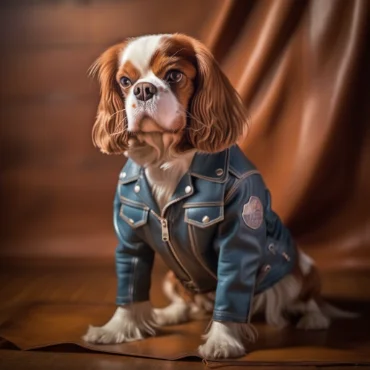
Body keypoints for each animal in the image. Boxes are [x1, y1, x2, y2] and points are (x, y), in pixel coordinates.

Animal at [82, 34, 354, 358]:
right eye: (125, 81)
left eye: (174, 76)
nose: (143, 89)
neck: (166, 159)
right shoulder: (130, 234)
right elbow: (130, 284)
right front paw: (116, 329)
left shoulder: (238, 240)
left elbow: (231, 289)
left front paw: (222, 341)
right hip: (173, 277)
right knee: (190, 304)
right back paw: (171, 313)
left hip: (302, 268)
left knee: (308, 298)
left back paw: (313, 319)